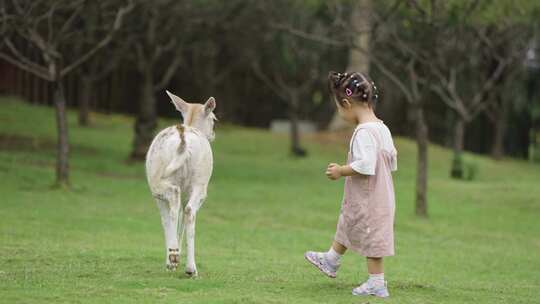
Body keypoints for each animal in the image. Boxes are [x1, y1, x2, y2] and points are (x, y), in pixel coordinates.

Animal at [147, 89, 218, 276]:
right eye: (214, 120)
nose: (213, 134)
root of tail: (182, 137)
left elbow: (166, 220)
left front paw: (170, 260)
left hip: (161, 181)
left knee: (176, 204)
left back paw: (177, 260)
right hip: (199, 180)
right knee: (188, 210)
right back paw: (187, 265)